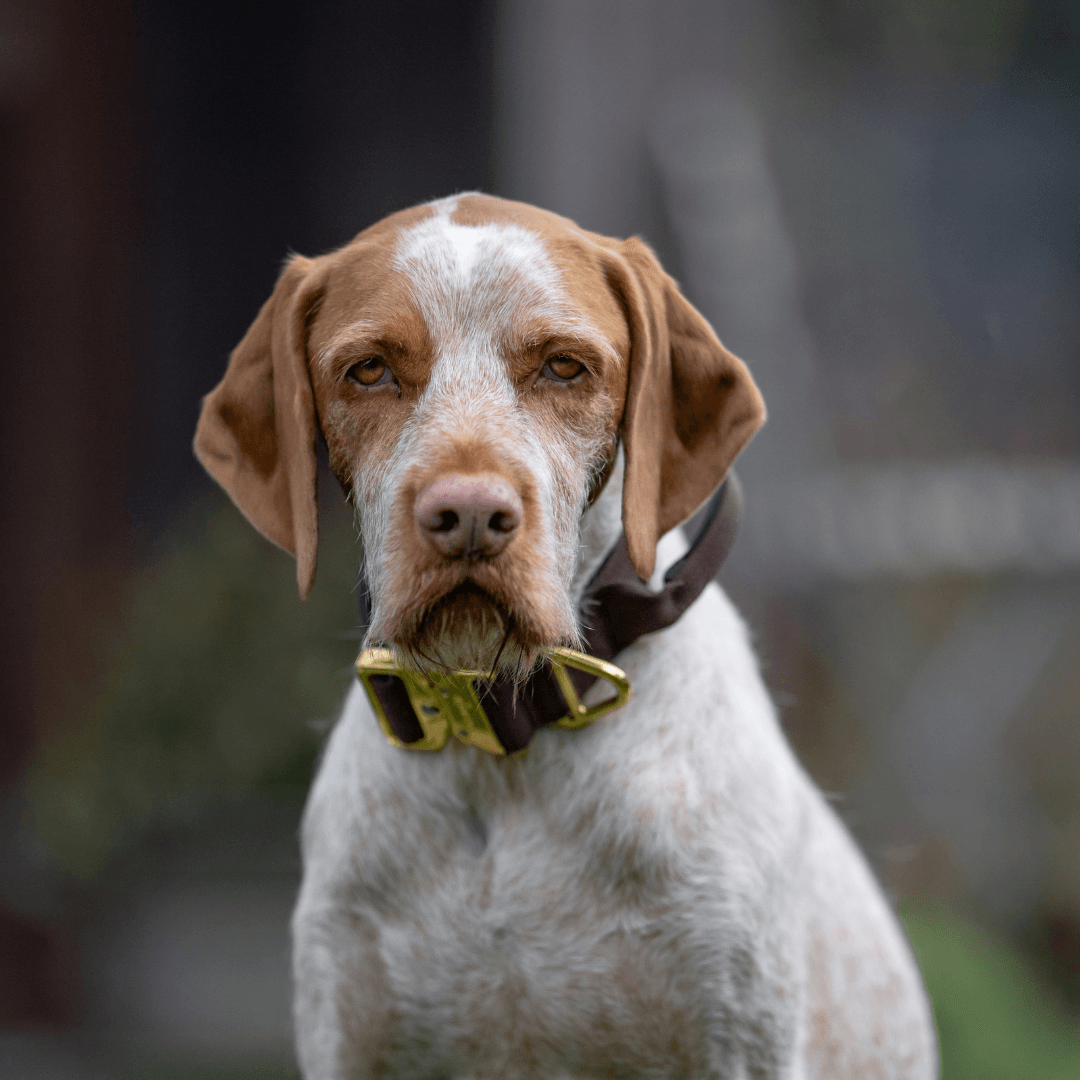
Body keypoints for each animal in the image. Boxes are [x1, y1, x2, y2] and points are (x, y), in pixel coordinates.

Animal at [194, 196, 937, 1080]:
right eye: (368, 370)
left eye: (563, 367)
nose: (468, 515)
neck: (504, 746)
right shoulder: (349, 1031)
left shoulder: (738, 1039)